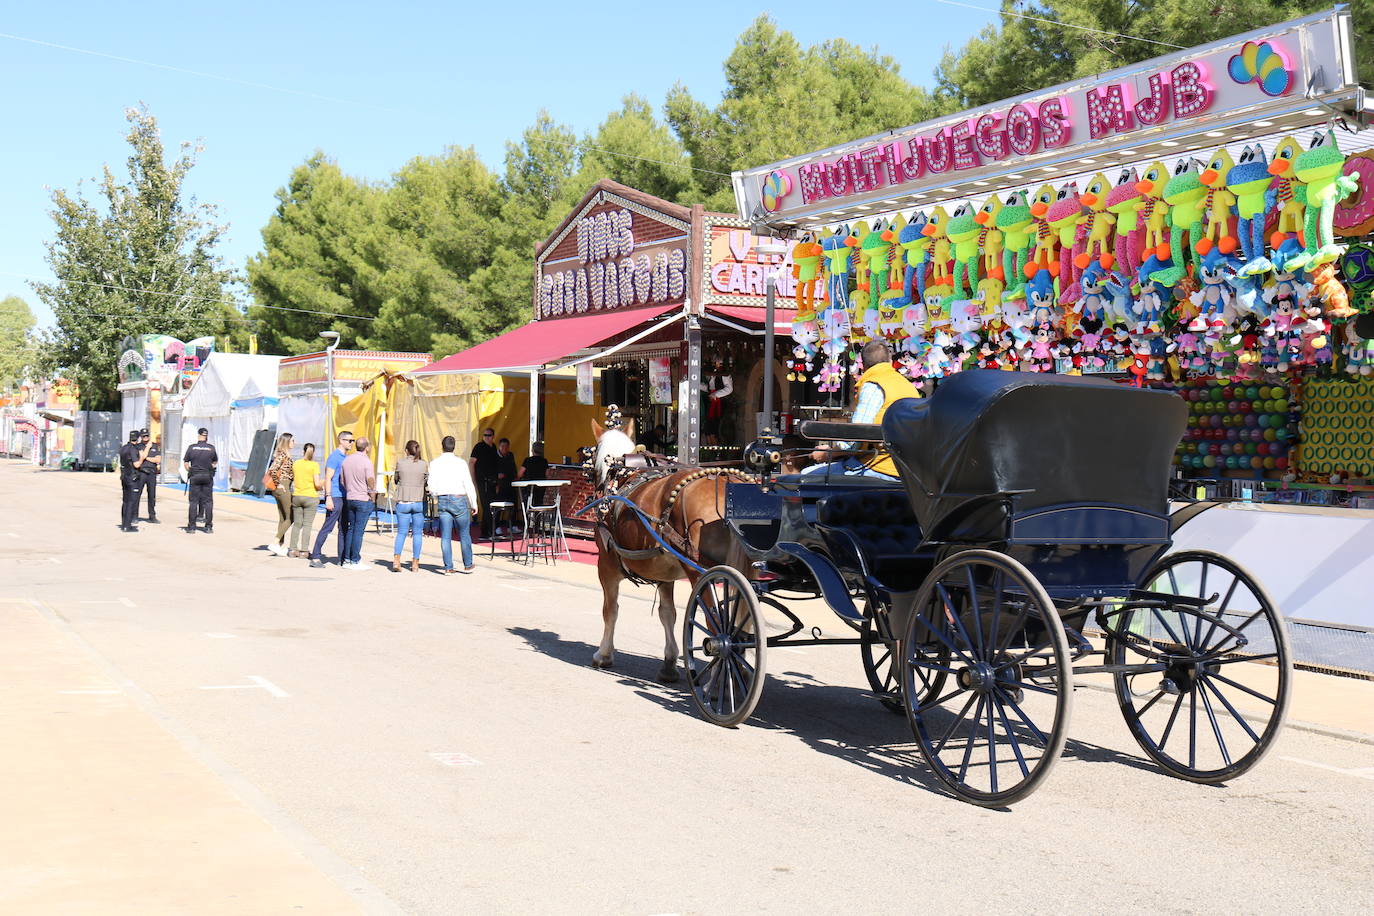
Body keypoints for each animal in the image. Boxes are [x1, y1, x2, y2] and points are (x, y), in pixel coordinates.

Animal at [588, 420, 752, 681]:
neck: (623, 475)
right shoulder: (664, 572)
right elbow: (667, 613)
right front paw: (669, 662)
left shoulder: (607, 564)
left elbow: (610, 610)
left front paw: (603, 654)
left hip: (701, 572)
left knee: (717, 624)